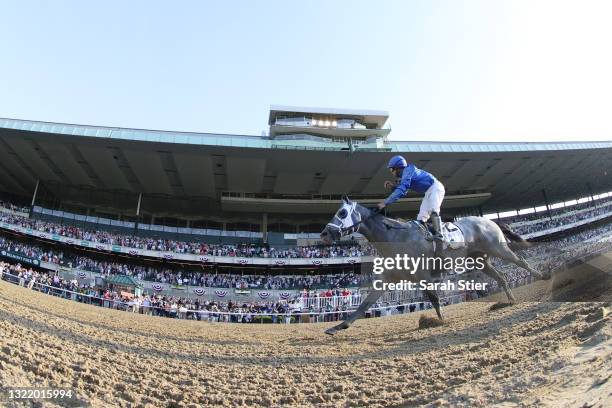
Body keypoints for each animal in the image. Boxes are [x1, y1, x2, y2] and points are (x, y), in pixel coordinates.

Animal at [320, 197, 544, 334]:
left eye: (342, 213)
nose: (324, 233)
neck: (394, 237)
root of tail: (489, 221)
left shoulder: (424, 276)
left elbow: (434, 299)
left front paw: (441, 321)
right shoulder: (388, 278)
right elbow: (365, 304)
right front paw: (338, 326)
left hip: (499, 249)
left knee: (521, 261)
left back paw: (542, 277)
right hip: (480, 261)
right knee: (502, 277)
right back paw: (510, 300)